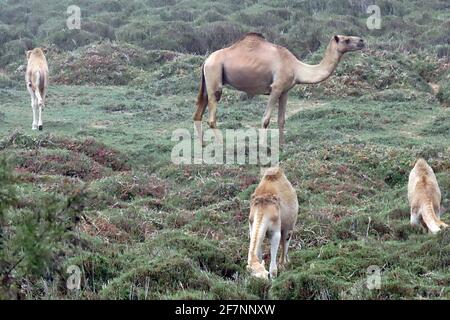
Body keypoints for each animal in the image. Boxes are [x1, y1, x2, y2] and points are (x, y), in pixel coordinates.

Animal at [193, 32, 366, 145]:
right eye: (346, 39)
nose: (362, 41)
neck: (297, 68)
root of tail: (206, 60)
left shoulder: (285, 91)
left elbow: (282, 120)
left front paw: (282, 146)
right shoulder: (275, 88)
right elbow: (266, 119)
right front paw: (263, 146)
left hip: (208, 81)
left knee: (198, 113)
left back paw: (202, 145)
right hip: (215, 76)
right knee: (211, 116)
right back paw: (221, 144)